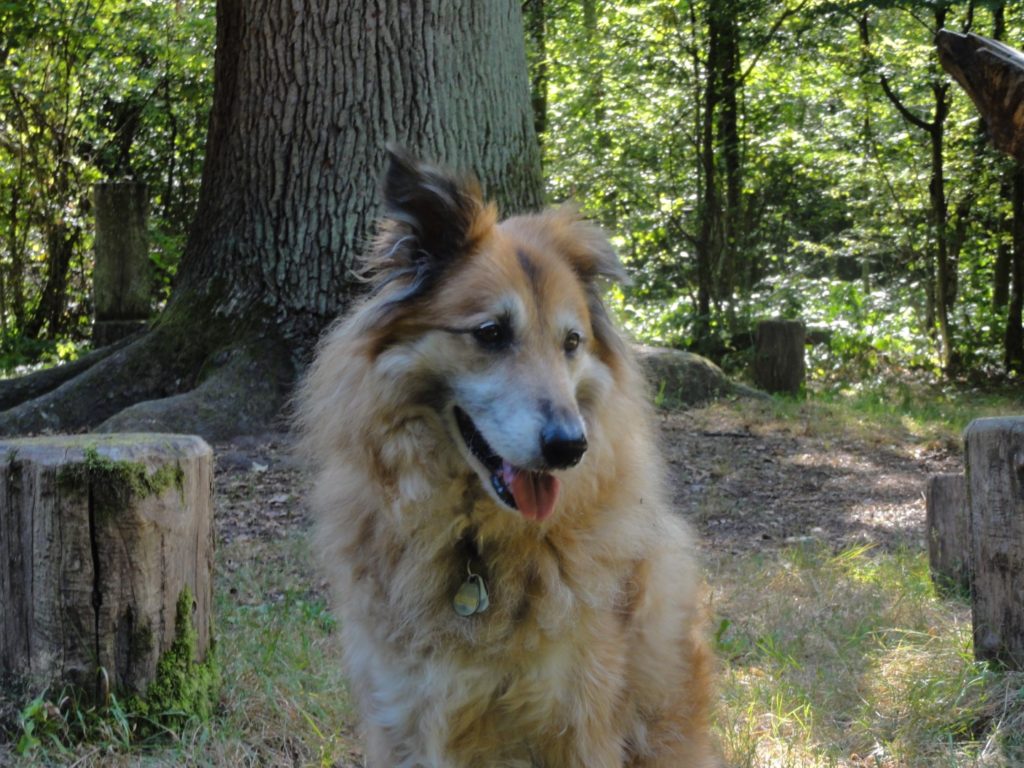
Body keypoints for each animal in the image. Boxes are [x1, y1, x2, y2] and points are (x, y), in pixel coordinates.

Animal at [296, 151, 720, 768]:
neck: (475, 544)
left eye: (572, 342)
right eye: (491, 333)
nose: (570, 447)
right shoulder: (402, 714)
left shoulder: (579, 721)